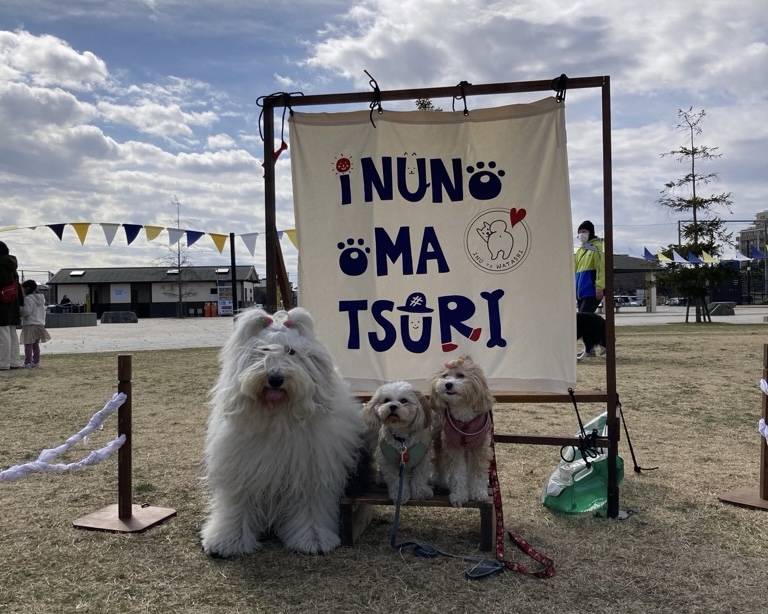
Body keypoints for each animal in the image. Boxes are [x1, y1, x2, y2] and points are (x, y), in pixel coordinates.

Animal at [201, 308, 364, 560]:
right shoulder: (241, 471)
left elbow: (310, 507)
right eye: (262, 351)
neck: (278, 417)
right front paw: (230, 541)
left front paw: (314, 538)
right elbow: (237, 504)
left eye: (292, 352)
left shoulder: (310, 473)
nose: (275, 378)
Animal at [428, 358, 496, 508]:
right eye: (445, 376)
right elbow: (458, 473)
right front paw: (459, 496)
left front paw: (479, 493)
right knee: (440, 461)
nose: (447, 384)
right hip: (439, 437)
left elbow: (478, 471)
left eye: (461, 376)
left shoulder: (480, 446)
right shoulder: (453, 445)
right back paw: (441, 482)